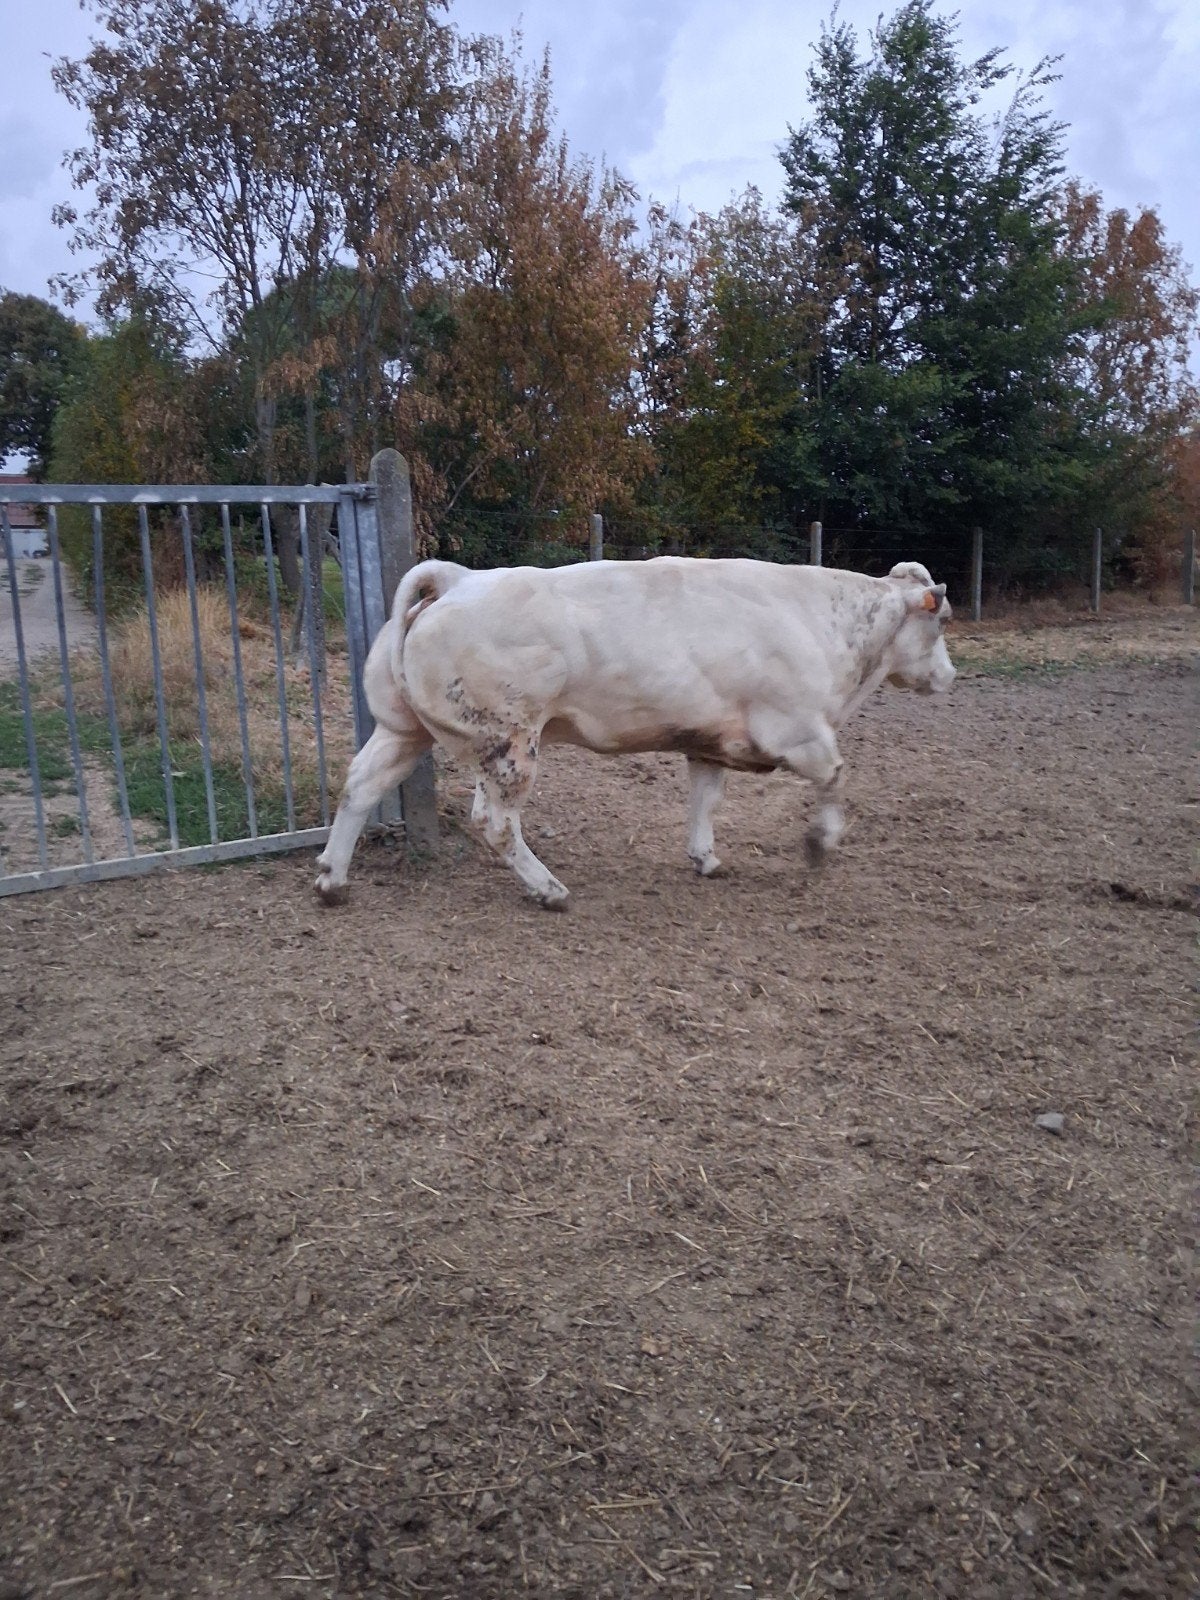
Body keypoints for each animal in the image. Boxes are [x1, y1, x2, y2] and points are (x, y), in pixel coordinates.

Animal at [314, 556, 955, 909]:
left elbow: (705, 801)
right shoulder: (799, 731)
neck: (823, 622)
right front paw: (820, 844)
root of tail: (459, 578)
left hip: (404, 729)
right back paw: (548, 890)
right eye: (941, 622)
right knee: (495, 822)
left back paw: (332, 879)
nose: (950, 676)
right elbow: (835, 778)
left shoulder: (708, 739)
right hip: (511, 742)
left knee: (361, 785)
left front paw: (706, 859)